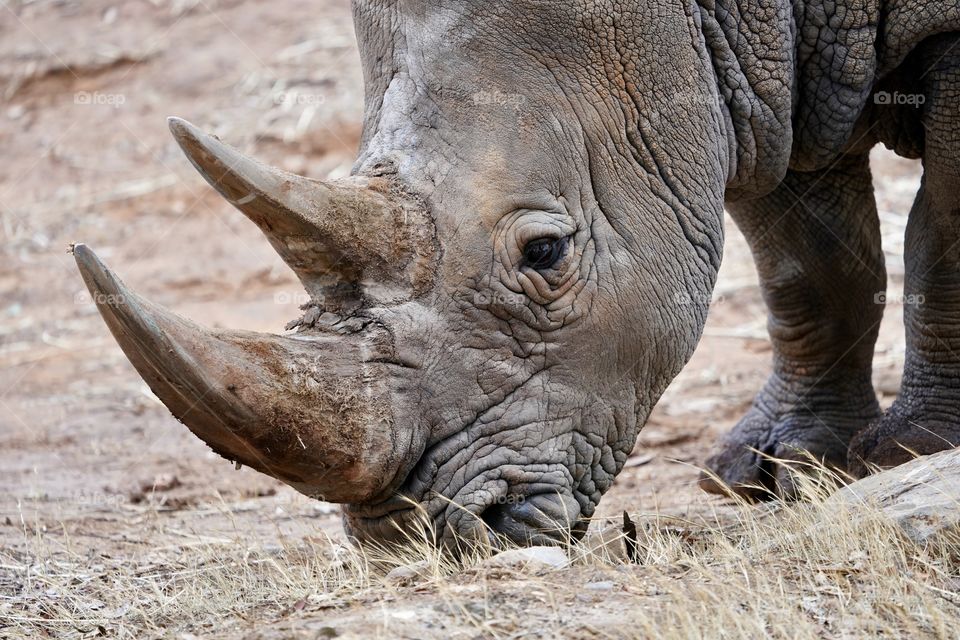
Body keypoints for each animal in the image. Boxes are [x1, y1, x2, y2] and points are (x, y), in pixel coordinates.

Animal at [74, 0, 960, 546]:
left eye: (545, 254)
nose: (416, 537)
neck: (697, 13)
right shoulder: (762, 76)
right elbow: (807, 268)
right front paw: (769, 473)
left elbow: (939, 241)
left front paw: (912, 452)